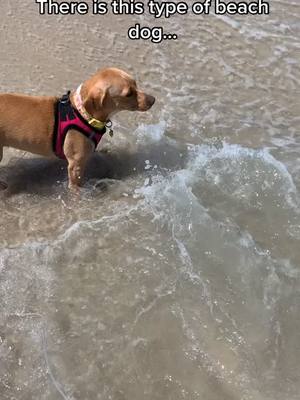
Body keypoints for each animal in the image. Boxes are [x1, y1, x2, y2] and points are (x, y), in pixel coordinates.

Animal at [0, 67, 155, 191]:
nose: (153, 100)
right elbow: (76, 187)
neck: (81, 112)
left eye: (136, 83)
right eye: (128, 94)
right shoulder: (76, 165)